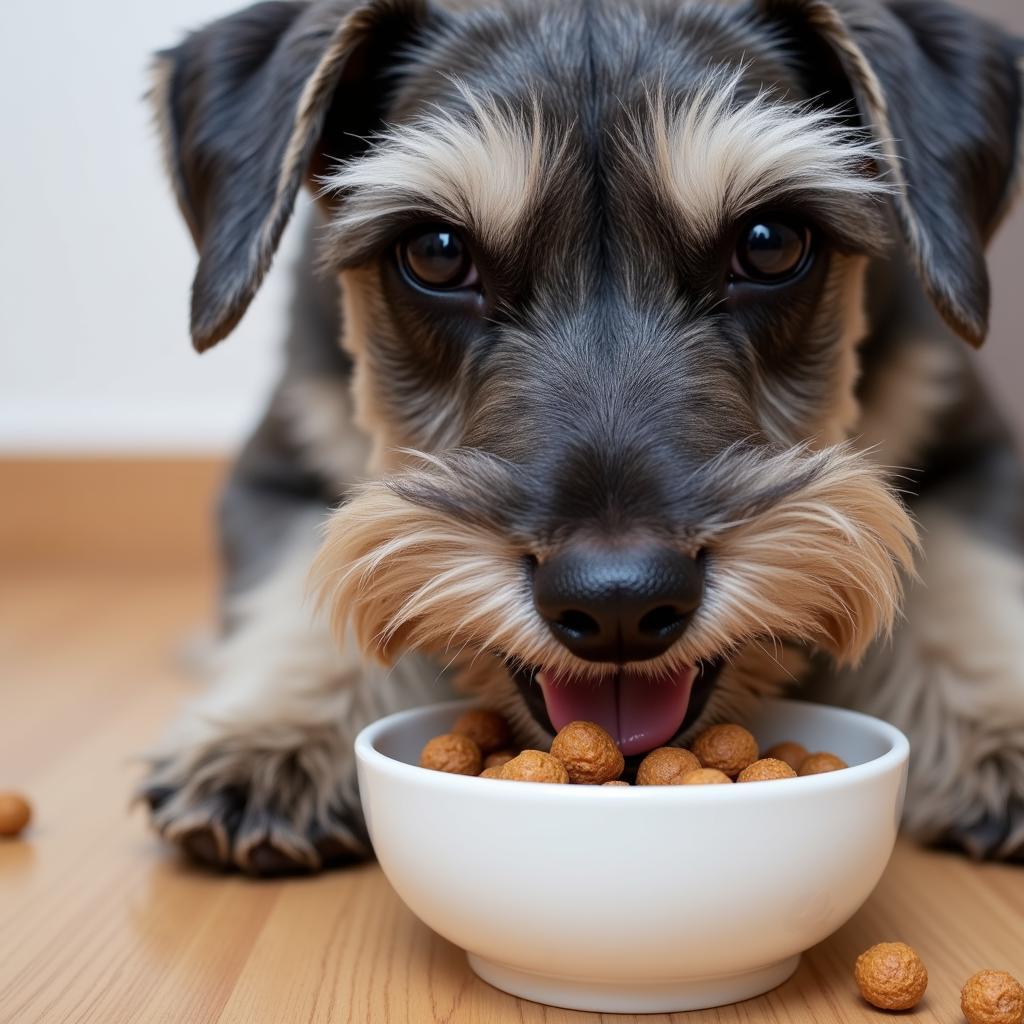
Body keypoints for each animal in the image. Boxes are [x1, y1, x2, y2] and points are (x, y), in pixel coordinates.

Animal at [142, 0, 1024, 872]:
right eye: (435, 252)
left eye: (772, 242)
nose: (618, 602)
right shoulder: (282, 463)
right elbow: (303, 584)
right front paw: (271, 739)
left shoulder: (971, 448)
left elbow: (964, 576)